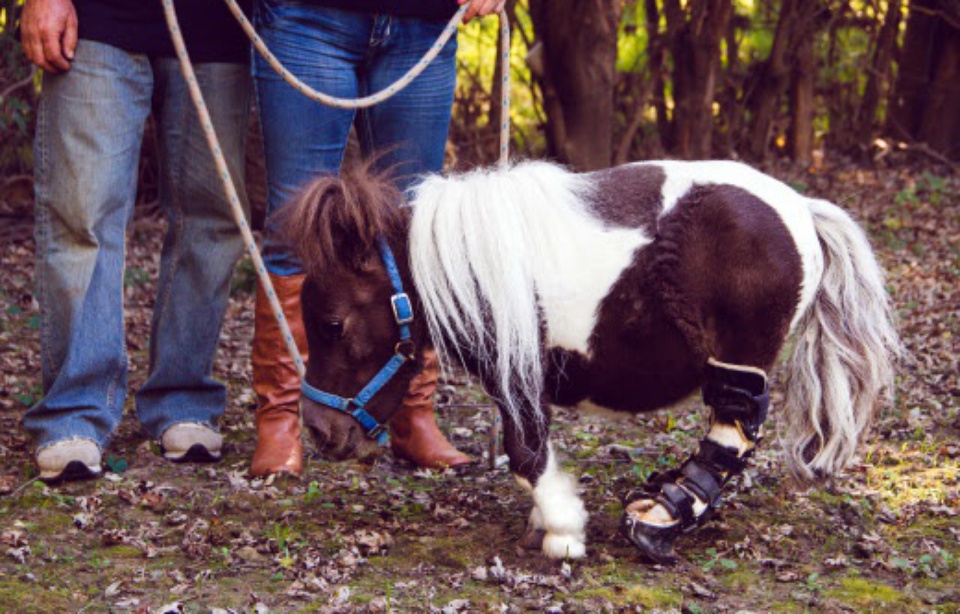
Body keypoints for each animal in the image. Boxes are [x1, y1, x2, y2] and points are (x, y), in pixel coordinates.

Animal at [278, 159, 900, 564]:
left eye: (332, 325)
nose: (318, 431)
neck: (463, 261)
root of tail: (804, 210)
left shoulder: (516, 372)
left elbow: (526, 451)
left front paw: (562, 532)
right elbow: (528, 450)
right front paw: (546, 520)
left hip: (738, 361)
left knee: (729, 433)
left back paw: (661, 520)